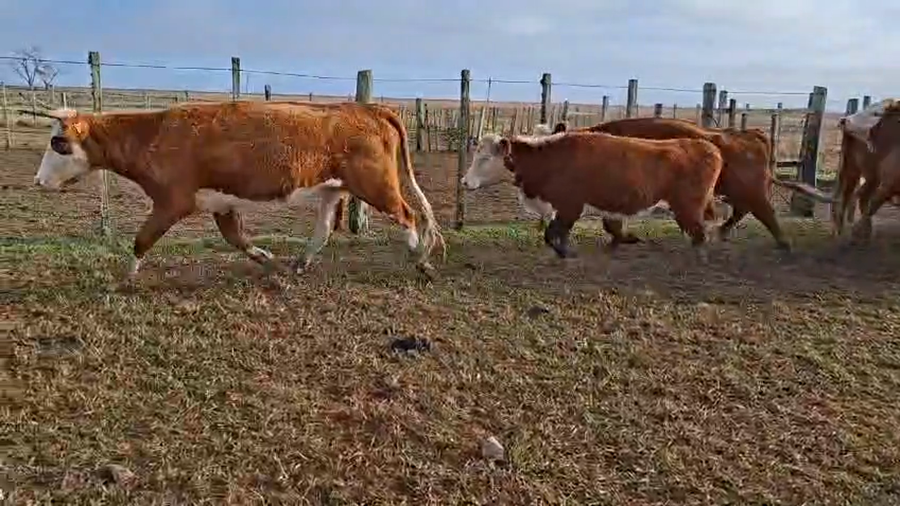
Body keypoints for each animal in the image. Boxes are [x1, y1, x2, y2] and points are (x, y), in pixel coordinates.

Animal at [31, 101, 446, 281]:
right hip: (333, 189)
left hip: (376, 184)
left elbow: (142, 239)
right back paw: (299, 263)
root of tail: (366, 108)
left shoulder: (172, 201)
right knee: (324, 228)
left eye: (58, 143)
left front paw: (128, 275)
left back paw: (419, 258)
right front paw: (268, 258)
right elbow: (237, 239)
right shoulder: (221, 203)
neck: (153, 135)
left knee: (407, 214)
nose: (38, 181)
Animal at [461, 130, 724, 260]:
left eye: (485, 158)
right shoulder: (565, 209)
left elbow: (553, 234)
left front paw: (566, 253)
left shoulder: (570, 207)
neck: (551, 158)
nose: (464, 182)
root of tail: (706, 146)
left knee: (700, 233)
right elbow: (557, 234)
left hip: (687, 208)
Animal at [549, 117, 831, 251]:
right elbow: (612, 222)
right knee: (743, 211)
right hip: (735, 192)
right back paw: (722, 232)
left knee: (764, 212)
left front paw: (626, 238)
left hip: (749, 191)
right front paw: (624, 239)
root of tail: (748, 134)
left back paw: (783, 244)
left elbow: (612, 222)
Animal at [830, 98, 900, 238]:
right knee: (854, 195)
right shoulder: (888, 182)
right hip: (860, 171)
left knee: (859, 196)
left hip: (867, 174)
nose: (843, 122)